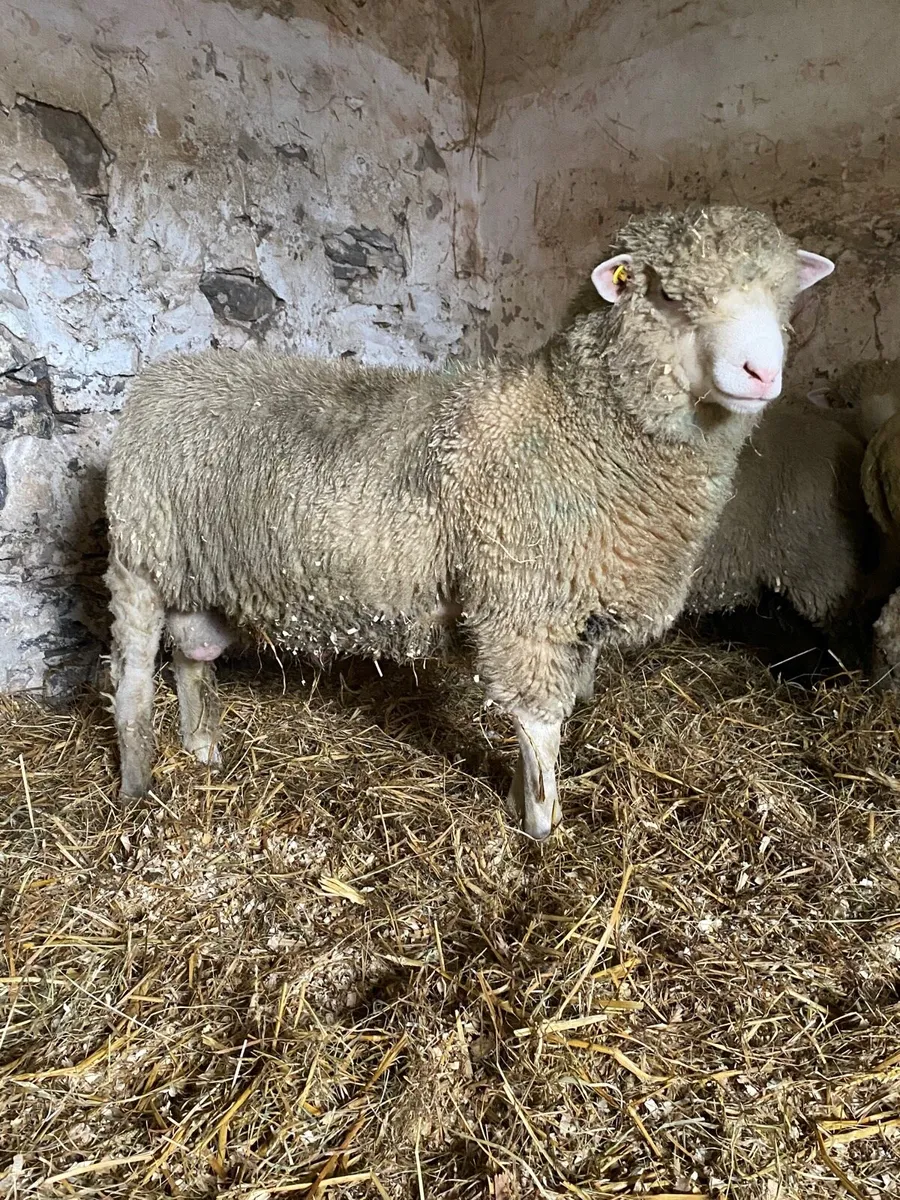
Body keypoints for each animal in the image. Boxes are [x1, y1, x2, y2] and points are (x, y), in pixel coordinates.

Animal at [105, 205, 834, 840]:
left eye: (783, 301)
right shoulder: (523, 604)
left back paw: (202, 747)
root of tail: (161, 377)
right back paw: (137, 783)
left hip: (203, 572)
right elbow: (541, 724)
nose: (761, 372)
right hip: (139, 560)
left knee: (193, 656)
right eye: (670, 297)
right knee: (134, 679)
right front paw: (542, 827)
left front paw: (517, 799)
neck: (575, 423)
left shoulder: (574, 612)